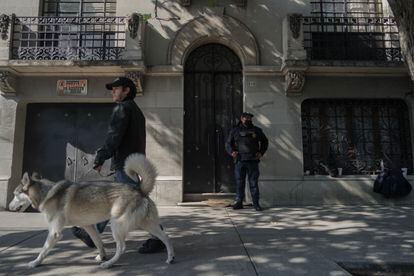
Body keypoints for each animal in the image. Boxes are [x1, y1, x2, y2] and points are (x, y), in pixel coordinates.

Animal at [8, 153, 173, 268]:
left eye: (15, 194)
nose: (9, 207)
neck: (46, 193)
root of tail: (139, 189)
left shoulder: (54, 232)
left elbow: (43, 250)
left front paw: (35, 262)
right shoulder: (88, 226)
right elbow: (98, 242)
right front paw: (102, 255)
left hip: (117, 225)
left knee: (122, 247)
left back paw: (109, 264)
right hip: (147, 224)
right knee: (165, 237)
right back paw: (170, 257)